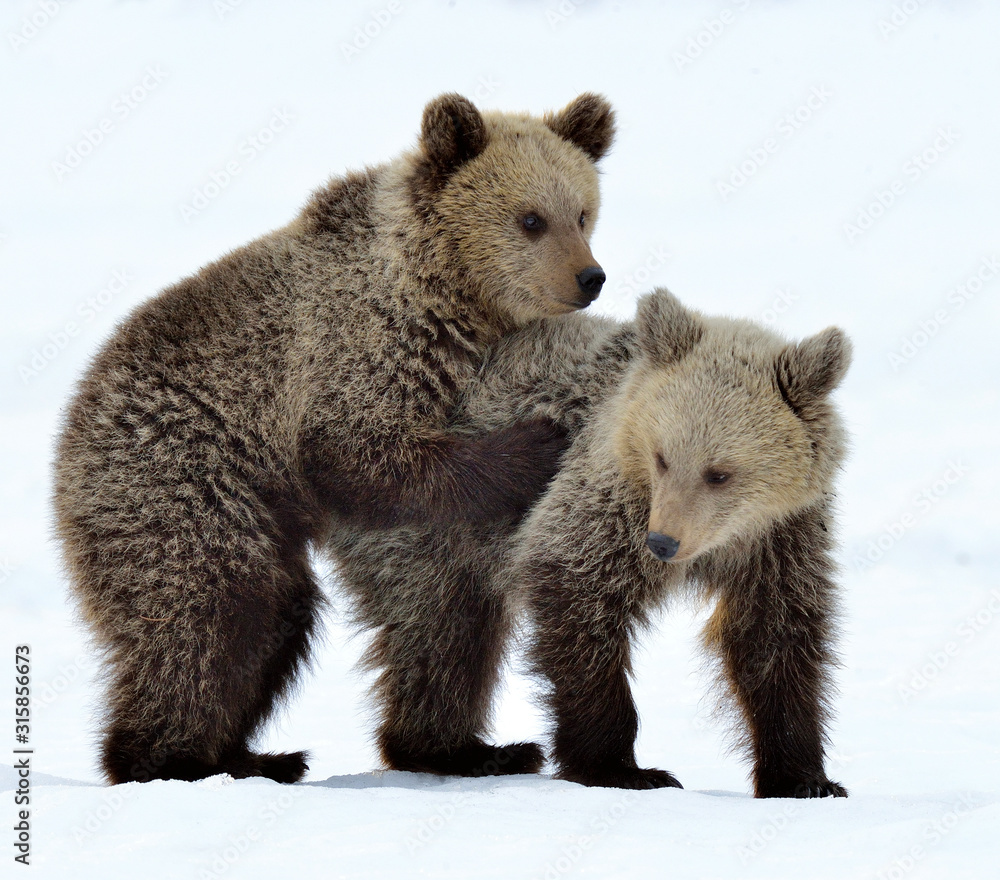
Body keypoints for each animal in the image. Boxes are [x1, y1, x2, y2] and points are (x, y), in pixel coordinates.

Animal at [52, 91, 616, 785]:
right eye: (531, 219)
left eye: (583, 212)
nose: (589, 277)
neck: (450, 297)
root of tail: (71, 423)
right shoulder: (356, 347)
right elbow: (359, 453)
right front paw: (536, 441)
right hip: (181, 477)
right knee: (213, 610)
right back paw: (167, 757)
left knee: (293, 617)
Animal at [332, 288, 851, 798]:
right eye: (663, 458)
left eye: (719, 473)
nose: (662, 543)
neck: (722, 541)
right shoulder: (605, 500)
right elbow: (578, 592)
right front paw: (621, 768)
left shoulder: (781, 537)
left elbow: (774, 636)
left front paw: (804, 778)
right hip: (427, 517)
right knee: (445, 629)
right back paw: (473, 750)